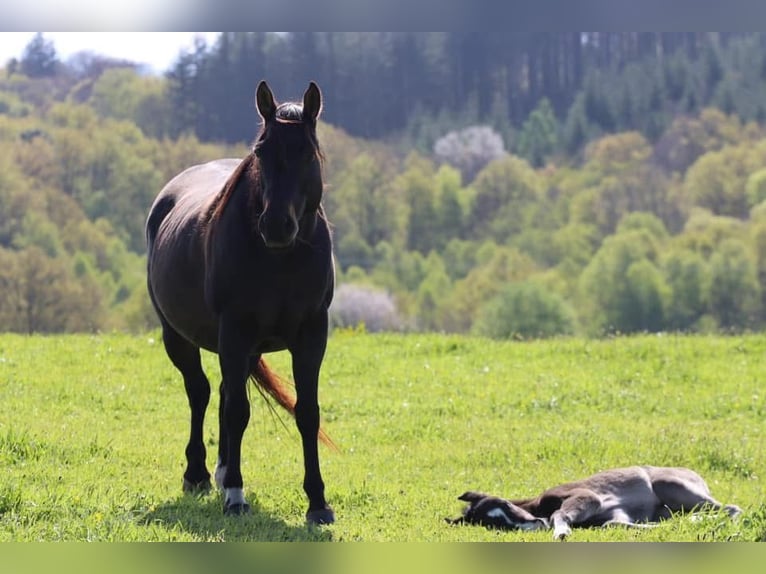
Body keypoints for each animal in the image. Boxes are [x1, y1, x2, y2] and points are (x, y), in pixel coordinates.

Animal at [145, 80, 336, 524]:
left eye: (307, 153)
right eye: (262, 152)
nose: (277, 225)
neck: (281, 259)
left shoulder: (311, 335)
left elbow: (306, 412)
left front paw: (317, 502)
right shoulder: (234, 331)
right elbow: (236, 411)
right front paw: (235, 494)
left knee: (222, 392)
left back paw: (218, 469)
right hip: (178, 337)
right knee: (200, 392)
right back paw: (198, 473)